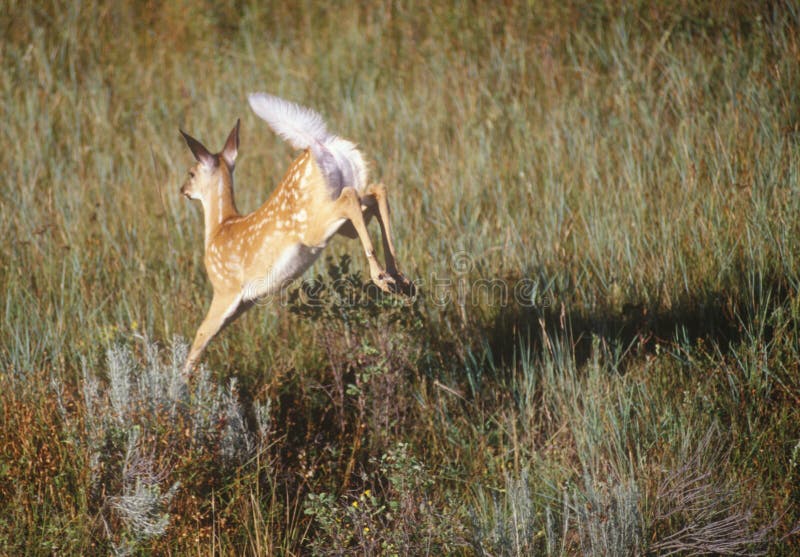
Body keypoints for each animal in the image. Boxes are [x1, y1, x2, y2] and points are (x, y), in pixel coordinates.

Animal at [180, 94, 412, 374]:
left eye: (191, 172)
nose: (183, 190)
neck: (219, 228)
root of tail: (318, 146)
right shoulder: (244, 301)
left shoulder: (225, 290)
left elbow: (200, 338)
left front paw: (181, 381)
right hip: (341, 217)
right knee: (376, 191)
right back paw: (398, 277)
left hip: (315, 225)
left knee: (352, 198)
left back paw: (381, 277)